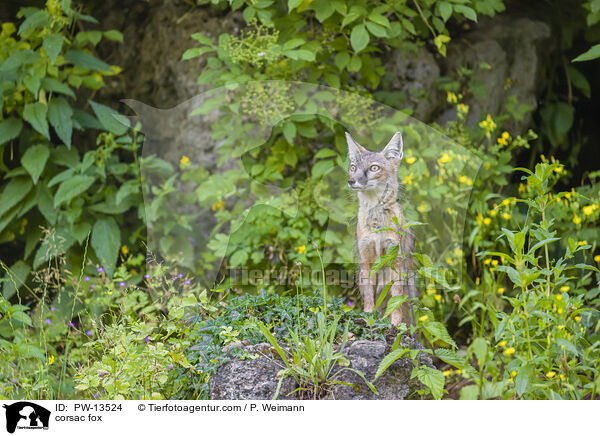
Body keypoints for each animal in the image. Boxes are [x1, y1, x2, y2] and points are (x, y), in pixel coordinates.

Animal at [344, 131, 414, 326]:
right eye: (353, 167)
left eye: (374, 168)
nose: (351, 181)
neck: (376, 223)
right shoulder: (366, 261)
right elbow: (369, 298)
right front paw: (368, 316)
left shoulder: (395, 260)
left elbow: (396, 301)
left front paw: (395, 325)